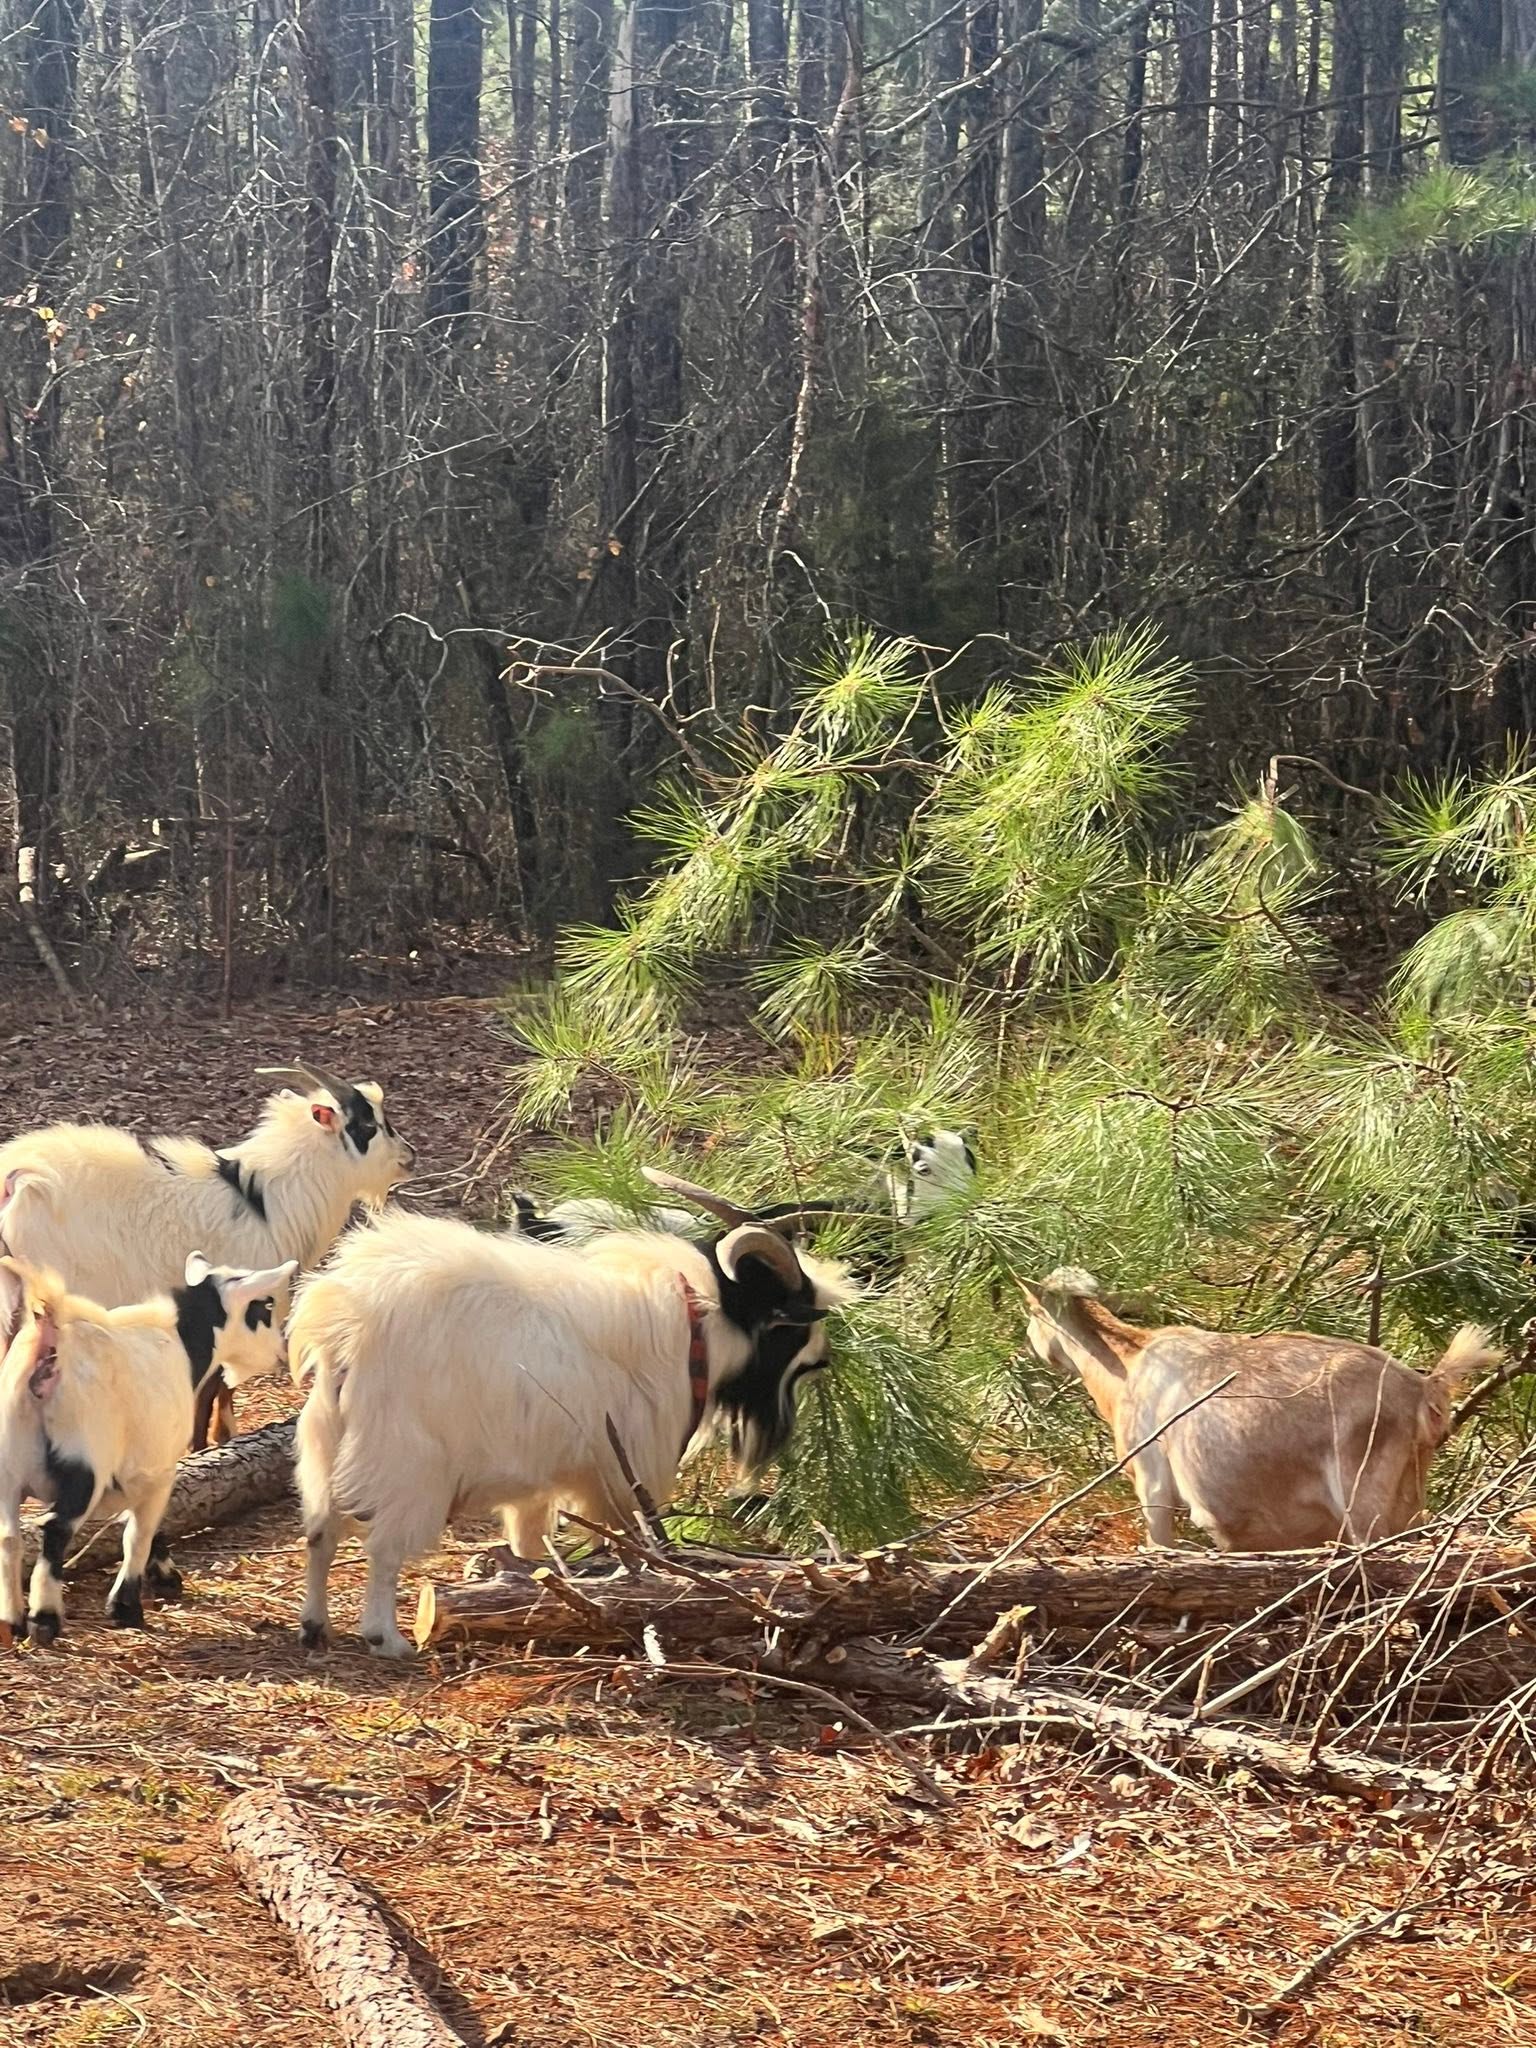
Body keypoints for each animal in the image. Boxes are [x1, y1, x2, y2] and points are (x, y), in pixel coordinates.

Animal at [0, 1060, 412, 1448]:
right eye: (368, 1124)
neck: (269, 1199)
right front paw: (211, 1441)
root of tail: (17, 1177)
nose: (409, 1156)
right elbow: (217, 1381)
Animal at [0, 1250, 295, 1642]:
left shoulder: (136, 1472)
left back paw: (12, 1620)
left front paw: (162, 1577)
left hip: (9, 1464)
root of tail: (49, 1343)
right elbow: (139, 1532)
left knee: (8, 1538)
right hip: (85, 1461)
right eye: (264, 1307)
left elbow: (141, 1526)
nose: (283, 1350)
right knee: (56, 1529)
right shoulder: (159, 1468)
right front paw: (128, 1608)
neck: (182, 1342)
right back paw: (44, 1619)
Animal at [291, 1206, 860, 1656]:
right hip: (408, 1462)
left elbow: (528, 1546)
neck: (692, 1332)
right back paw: (385, 1638)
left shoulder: (539, 1483)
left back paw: (315, 1626)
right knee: (383, 1549)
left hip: (326, 1443)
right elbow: (624, 1544)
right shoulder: (617, 1475)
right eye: (790, 1320)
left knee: (320, 1533)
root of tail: (345, 1324)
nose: (825, 1356)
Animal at [1022, 1268, 1498, 1552]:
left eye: (1031, 1315)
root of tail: (1421, 1389)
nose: (1033, 1348)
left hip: (1365, 1504)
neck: (1129, 1362)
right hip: (1405, 1501)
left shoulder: (1152, 1481)